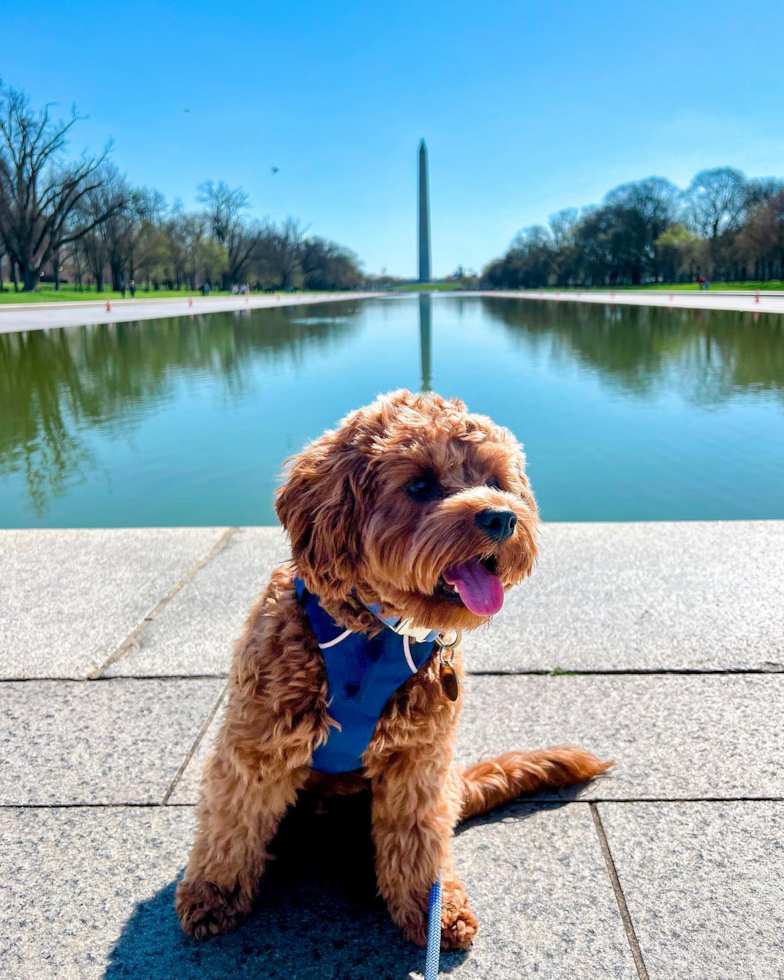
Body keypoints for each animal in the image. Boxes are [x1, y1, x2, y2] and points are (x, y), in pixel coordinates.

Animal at [175, 388, 608, 948]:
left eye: (496, 481)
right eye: (420, 485)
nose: (500, 517)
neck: (376, 631)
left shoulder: (418, 763)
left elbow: (418, 839)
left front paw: (431, 912)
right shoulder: (258, 746)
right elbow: (231, 824)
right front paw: (213, 894)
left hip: (435, 784)